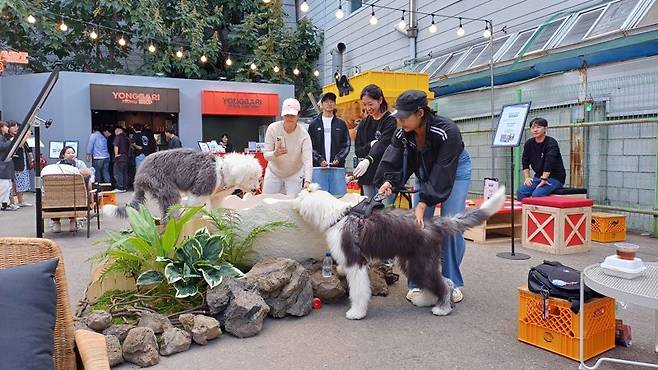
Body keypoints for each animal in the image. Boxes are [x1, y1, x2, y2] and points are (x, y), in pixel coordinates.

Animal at [294, 186, 504, 320]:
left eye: (301, 196)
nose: (294, 201)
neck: (338, 216)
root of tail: (433, 223)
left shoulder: (356, 261)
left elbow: (359, 290)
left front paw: (357, 312)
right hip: (413, 262)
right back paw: (425, 300)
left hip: (421, 262)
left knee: (446, 283)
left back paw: (442, 309)